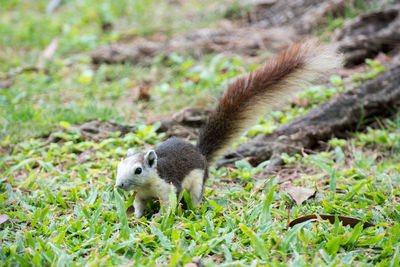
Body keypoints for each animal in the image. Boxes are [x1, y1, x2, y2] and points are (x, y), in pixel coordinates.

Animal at [115, 40, 340, 219]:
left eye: (138, 170)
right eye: (119, 167)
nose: (119, 185)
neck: (147, 184)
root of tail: (200, 153)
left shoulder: (168, 185)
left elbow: (169, 204)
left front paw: (159, 218)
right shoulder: (140, 195)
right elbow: (139, 205)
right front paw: (136, 217)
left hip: (198, 181)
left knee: (195, 196)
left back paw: (195, 209)